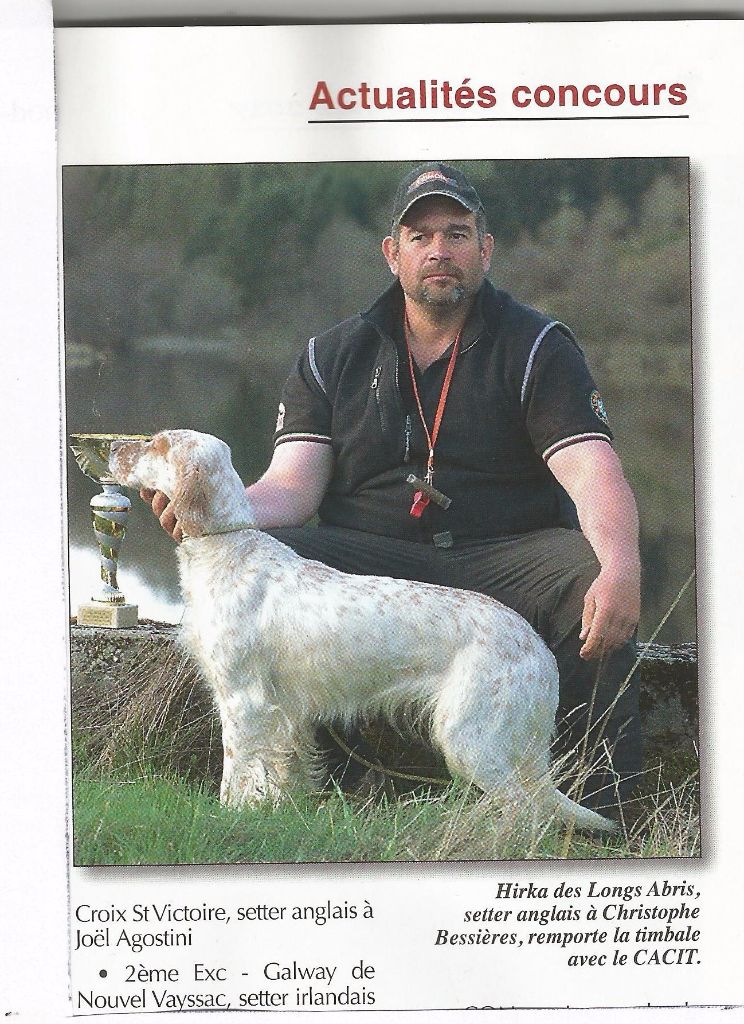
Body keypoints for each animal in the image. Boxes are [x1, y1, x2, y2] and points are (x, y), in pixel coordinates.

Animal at [107, 430, 614, 831]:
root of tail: (536, 647)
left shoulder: (243, 701)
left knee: (526, 811)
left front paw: (228, 816)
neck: (225, 545)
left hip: (472, 738)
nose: (111, 446)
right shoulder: (287, 715)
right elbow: (285, 773)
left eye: (157, 442)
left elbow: (237, 774)